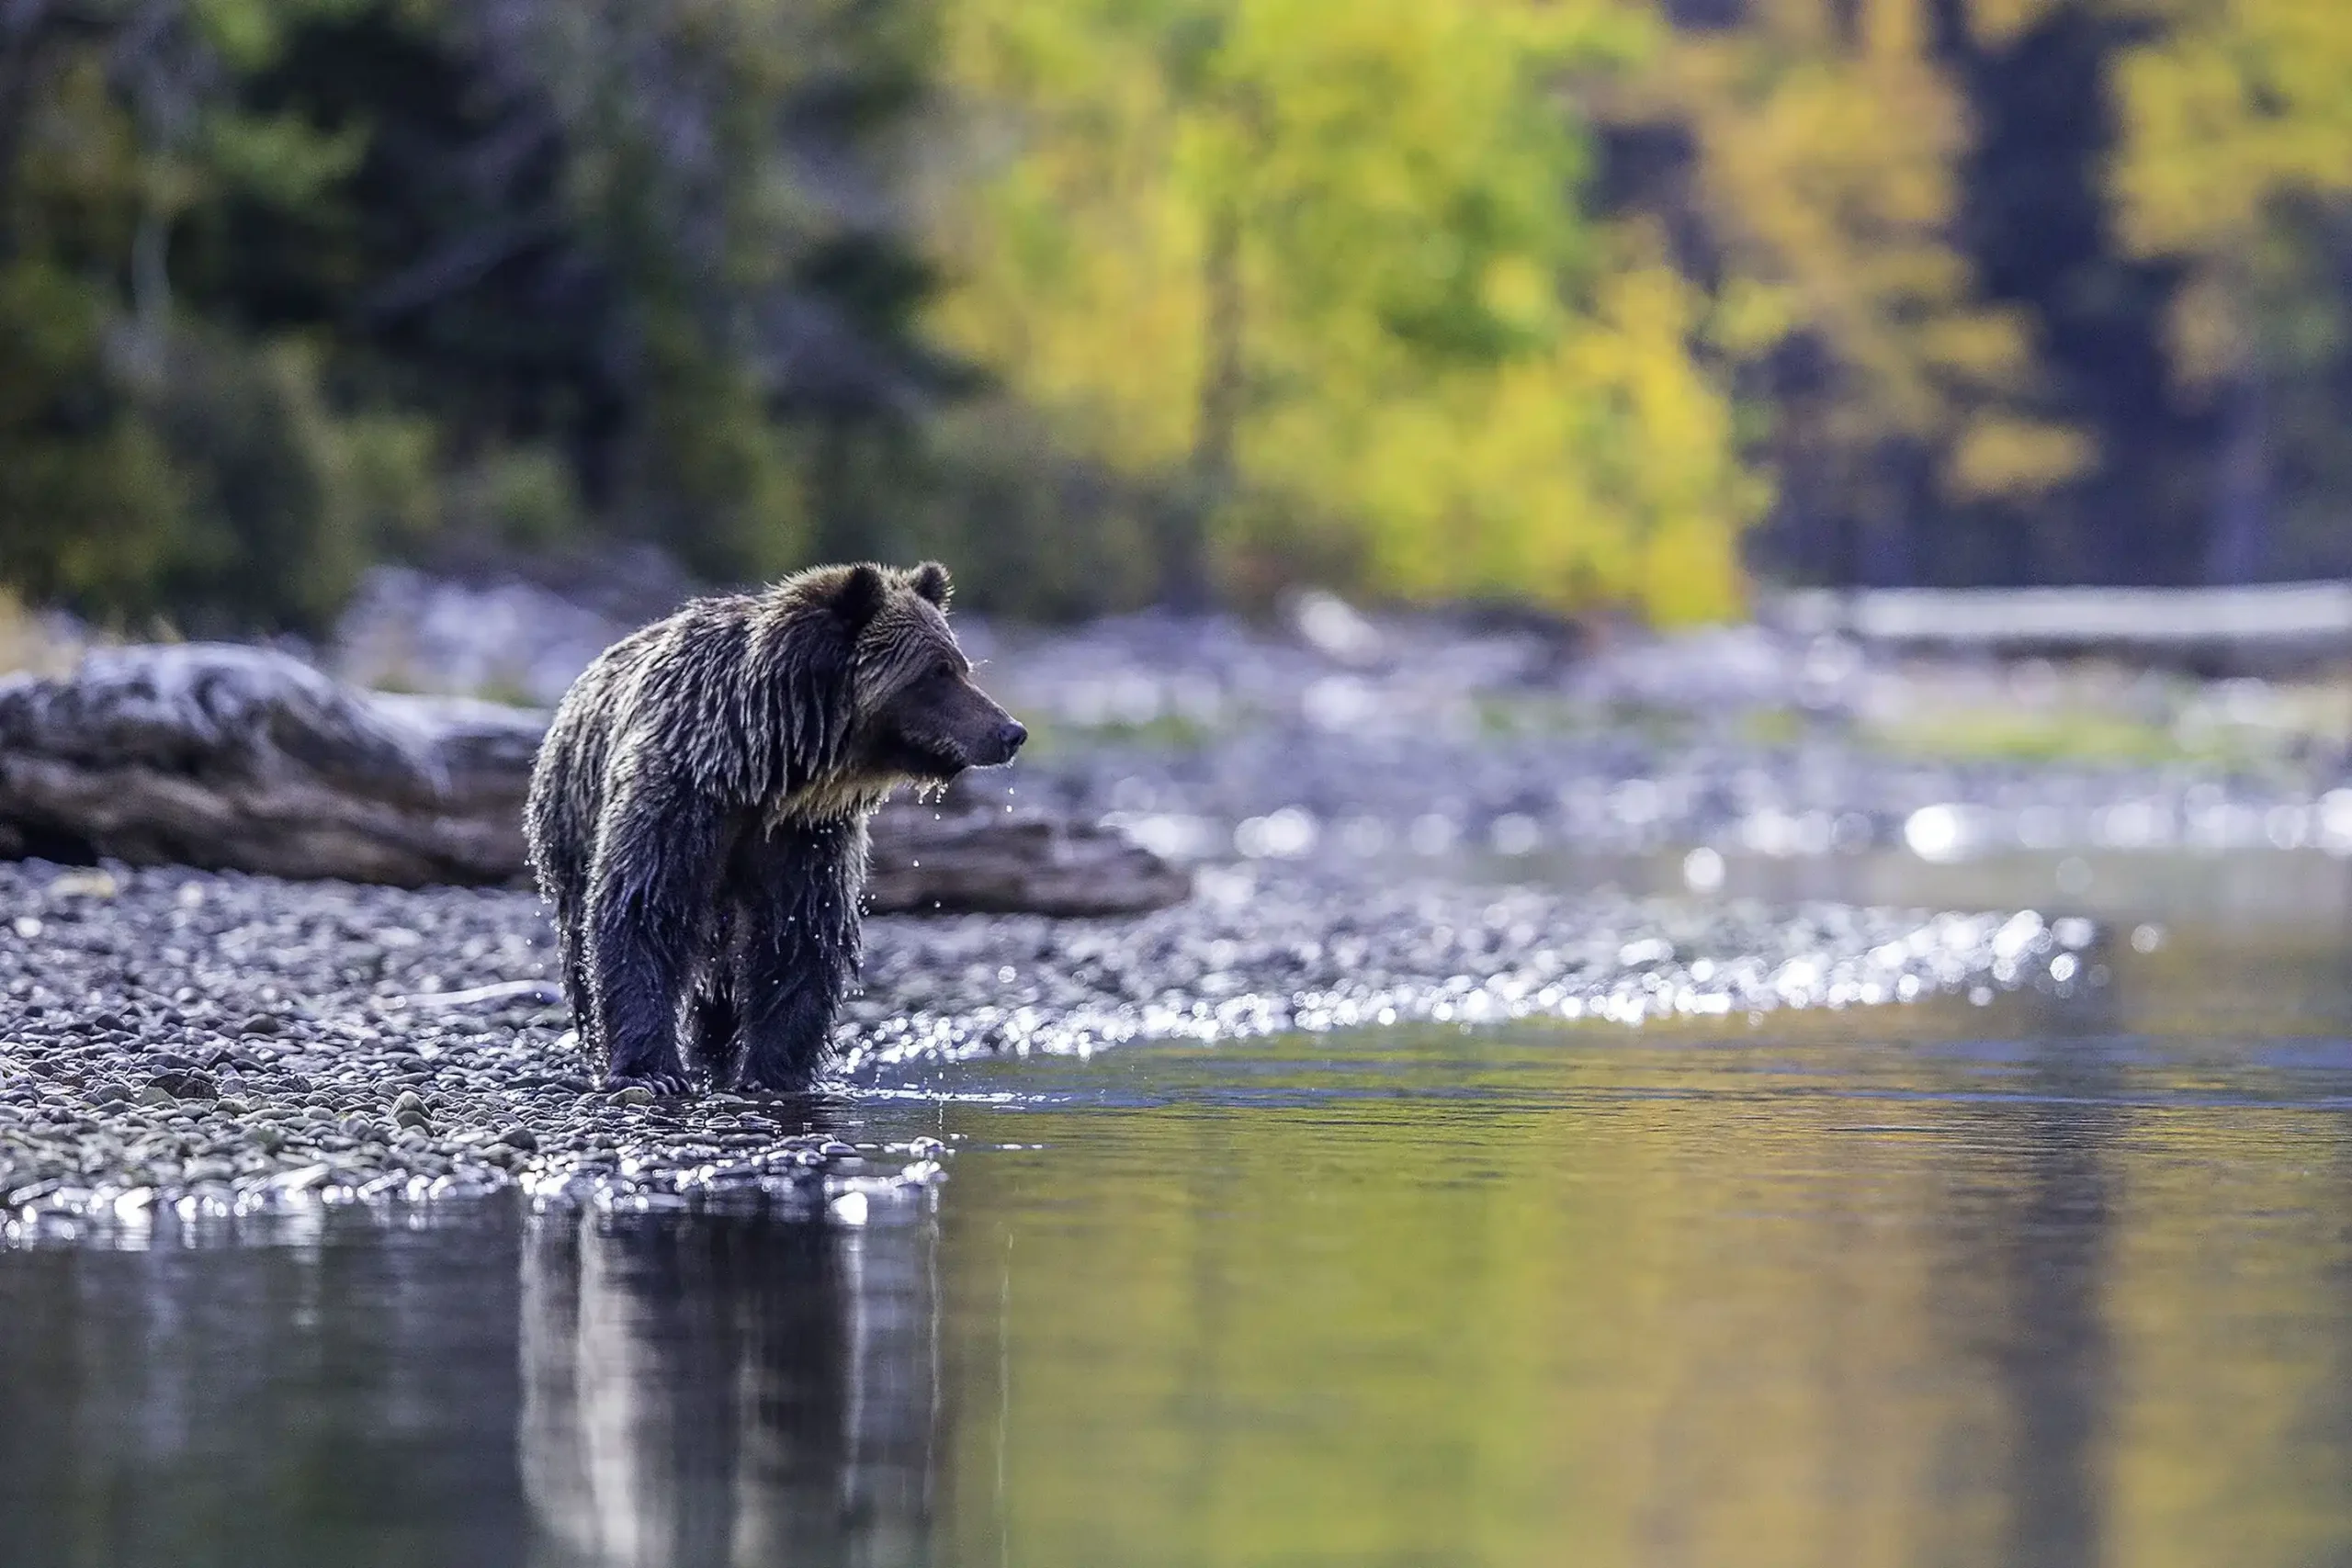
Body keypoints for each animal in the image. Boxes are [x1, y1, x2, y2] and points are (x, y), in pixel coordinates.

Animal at [524, 561, 1025, 1094]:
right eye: (937, 671)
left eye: (962, 666)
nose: (1010, 732)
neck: (761, 766)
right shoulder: (680, 798)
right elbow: (646, 909)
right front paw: (651, 1070)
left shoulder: (805, 832)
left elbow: (798, 935)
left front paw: (773, 1072)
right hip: (570, 826)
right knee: (582, 943)